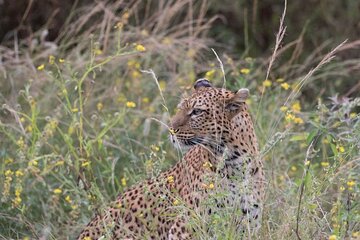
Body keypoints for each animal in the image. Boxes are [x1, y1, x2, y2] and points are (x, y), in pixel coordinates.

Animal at [78, 78, 264, 238]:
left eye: (197, 112)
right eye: (180, 108)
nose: (170, 128)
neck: (236, 162)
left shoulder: (248, 224)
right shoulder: (184, 227)